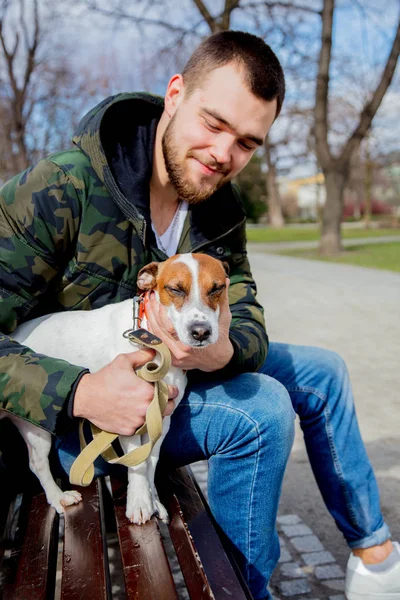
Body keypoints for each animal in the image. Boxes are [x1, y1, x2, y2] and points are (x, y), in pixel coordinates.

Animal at [0, 254, 228, 524]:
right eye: (175, 289)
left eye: (217, 288)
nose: (201, 332)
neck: (154, 342)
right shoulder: (128, 416)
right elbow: (137, 463)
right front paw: (139, 503)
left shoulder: (161, 419)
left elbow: (151, 461)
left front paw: (153, 500)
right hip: (37, 424)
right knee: (38, 463)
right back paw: (58, 497)